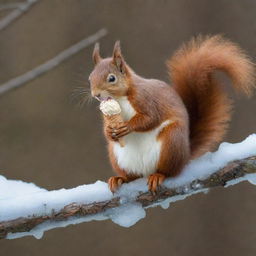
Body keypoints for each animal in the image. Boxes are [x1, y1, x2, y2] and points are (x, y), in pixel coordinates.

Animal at [87, 35, 254, 192]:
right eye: (90, 78)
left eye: (112, 78)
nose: (96, 94)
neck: (120, 98)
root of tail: (186, 153)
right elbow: (106, 129)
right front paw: (110, 131)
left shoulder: (146, 100)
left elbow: (150, 119)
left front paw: (127, 126)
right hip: (117, 156)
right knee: (131, 176)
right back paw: (119, 179)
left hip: (171, 142)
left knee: (170, 171)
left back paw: (158, 176)